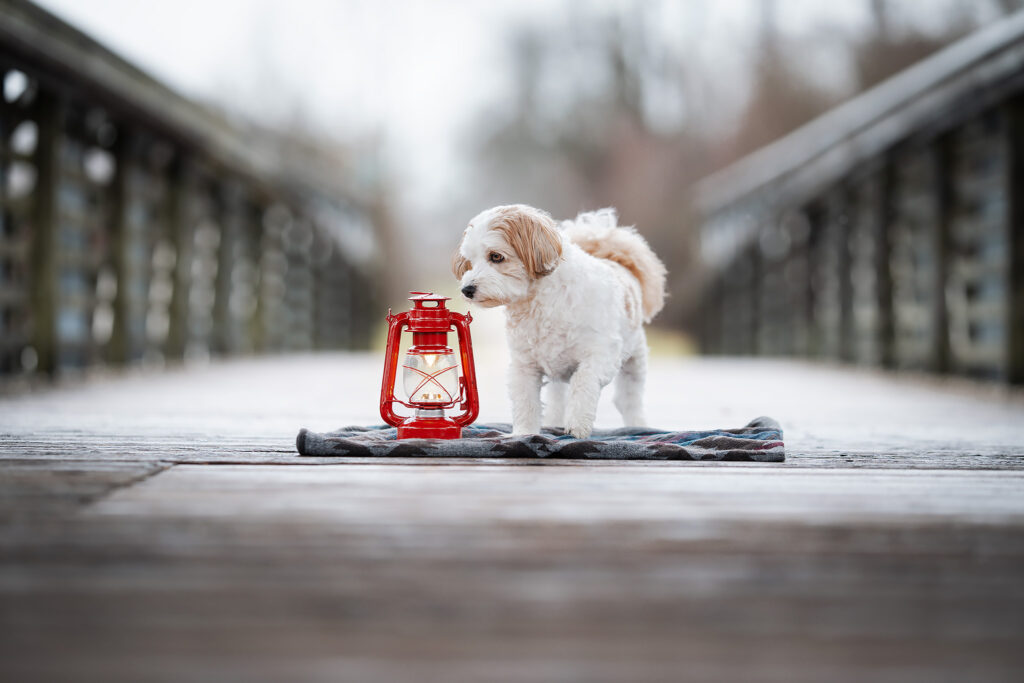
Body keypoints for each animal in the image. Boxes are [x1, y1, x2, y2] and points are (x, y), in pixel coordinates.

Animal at [452, 202, 667, 438]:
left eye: (496, 256)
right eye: (470, 262)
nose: (467, 289)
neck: (540, 304)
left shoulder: (600, 356)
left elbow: (583, 383)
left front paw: (577, 425)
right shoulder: (524, 366)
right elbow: (526, 403)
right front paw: (523, 434)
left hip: (634, 362)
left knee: (629, 400)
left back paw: (638, 425)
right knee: (557, 399)